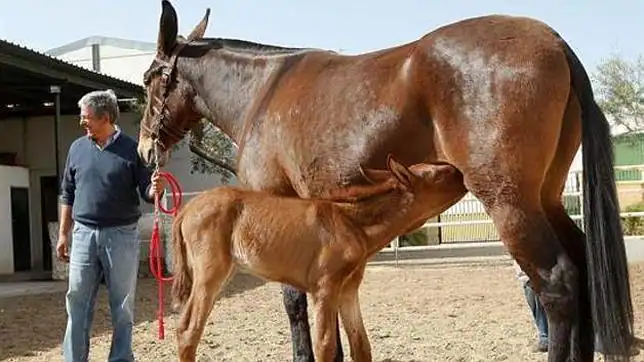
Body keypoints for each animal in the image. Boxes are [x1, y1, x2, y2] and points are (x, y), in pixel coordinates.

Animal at [169, 154, 466, 360]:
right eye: (437, 175)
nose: (462, 172)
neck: (352, 223)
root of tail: (186, 210)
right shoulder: (324, 290)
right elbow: (326, 346)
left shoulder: (347, 291)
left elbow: (361, 346)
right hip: (210, 274)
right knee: (188, 330)